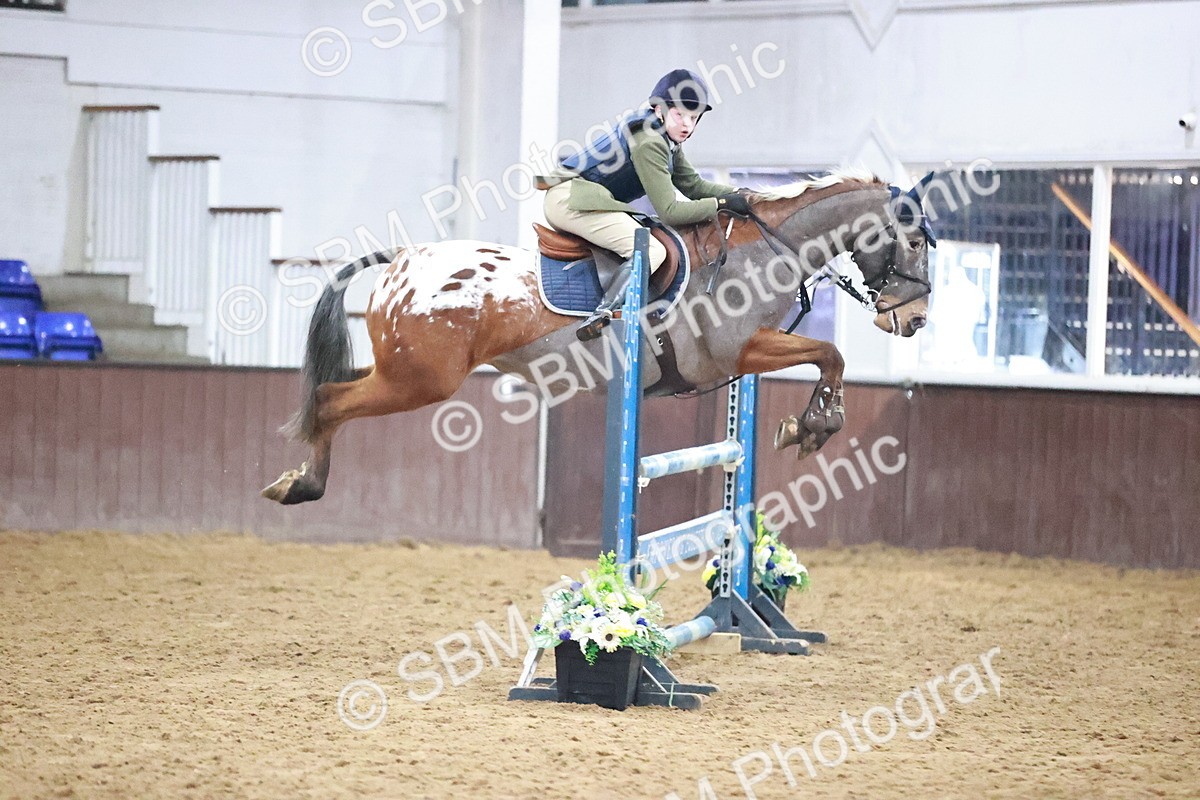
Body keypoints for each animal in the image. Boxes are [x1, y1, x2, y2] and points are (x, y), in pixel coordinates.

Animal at [262, 170, 936, 505]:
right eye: (916, 240)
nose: (915, 319)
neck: (763, 251)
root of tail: (406, 258)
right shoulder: (738, 352)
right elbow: (832, 354)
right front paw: (812, 427)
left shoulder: (746, 357)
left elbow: (828, 358)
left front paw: (805, 425)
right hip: (419, 381)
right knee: (328, 400)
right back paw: (302, 485)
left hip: (401, 372)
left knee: (334, 392)